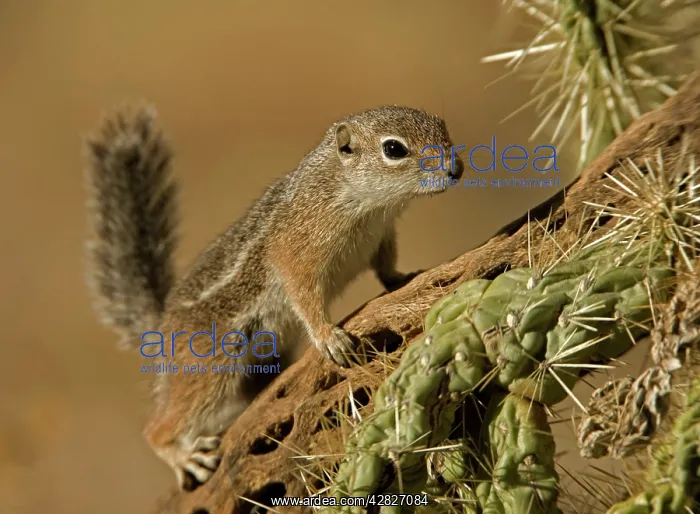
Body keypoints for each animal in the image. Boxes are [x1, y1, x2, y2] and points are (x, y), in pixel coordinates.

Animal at [84, 103, 463, 491]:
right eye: (394, 149)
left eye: (442, 127)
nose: (456, 169)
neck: (358, 199)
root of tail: (161, 326)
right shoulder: (295, 253)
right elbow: (304, 296)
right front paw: (328, 336)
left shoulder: (382, 236)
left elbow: (385, 266)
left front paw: (404, 277)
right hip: (209, 366)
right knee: (159, 427)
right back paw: (184, 456)